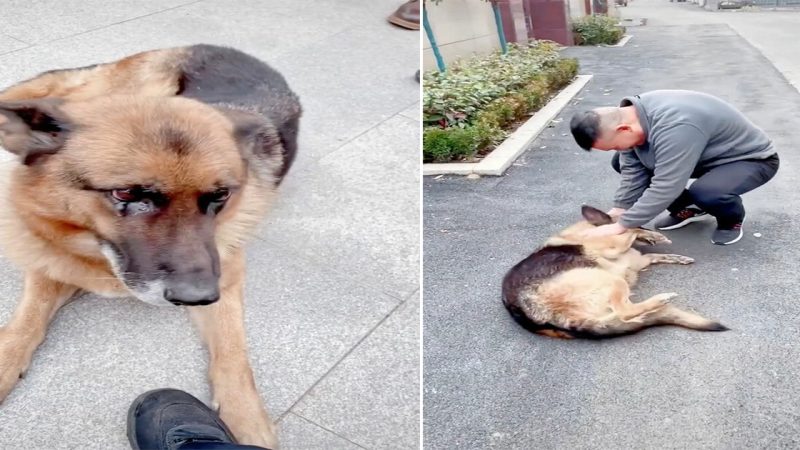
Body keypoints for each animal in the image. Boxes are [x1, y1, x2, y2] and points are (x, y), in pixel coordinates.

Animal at [0, 44, 302, 446]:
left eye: (220, 196)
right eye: (126, 193)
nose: (198, 296)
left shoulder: (227, 274)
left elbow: (233, 347)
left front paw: (246, 414)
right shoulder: (52, 260)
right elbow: (26, 320)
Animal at [504, 207, 728, 338]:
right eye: (640, 221)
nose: (653, 230)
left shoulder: (639, 260)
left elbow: (656, 255)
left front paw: (676, 256)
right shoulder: (615, 244)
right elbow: (629, 230)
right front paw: (651, 235)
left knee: (624, 314)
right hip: (612, 281)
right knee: (624, 311)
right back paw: (660, 299)